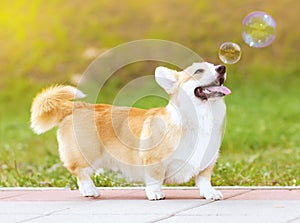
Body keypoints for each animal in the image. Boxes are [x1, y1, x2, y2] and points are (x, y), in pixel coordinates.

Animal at [30, 61, 231, 200]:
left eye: (215, 65)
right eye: (199, 71)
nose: (222, 68)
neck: (203, 118)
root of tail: (77, 106)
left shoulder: (206, 163)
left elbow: (204, 180)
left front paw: (211, 193)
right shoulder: (152, 162)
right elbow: (154, 180)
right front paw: (155, 194)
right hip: (86, 155)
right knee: (80, 173)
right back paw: (90, 190)